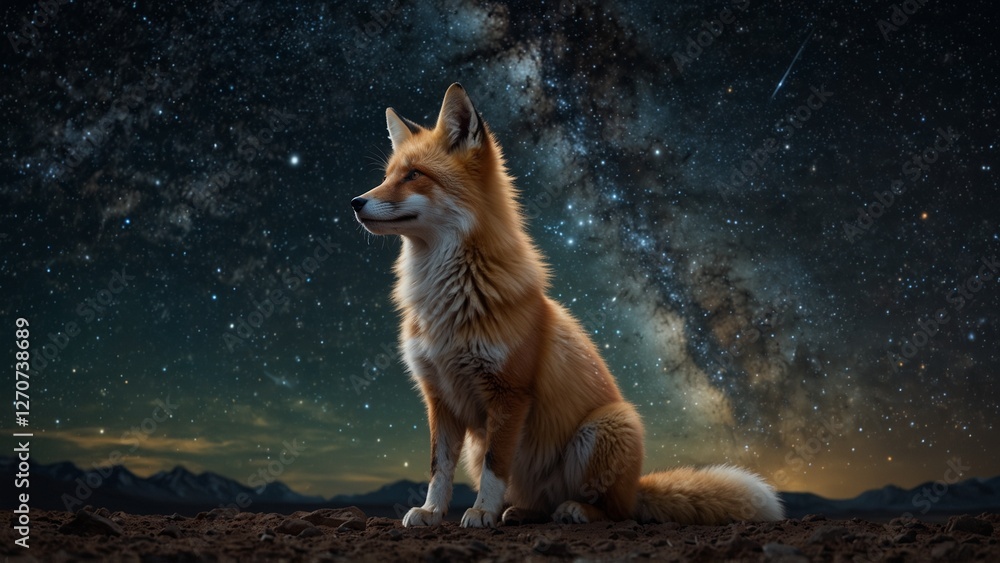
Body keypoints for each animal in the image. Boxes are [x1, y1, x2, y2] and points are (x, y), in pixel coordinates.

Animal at [351, 83, 785, 528]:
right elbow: (439, 467)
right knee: (539, 502)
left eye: (414, 175)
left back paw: (575, 510)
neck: (447, 300)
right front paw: (432, 511)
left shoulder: (509, 393)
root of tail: (636, 487)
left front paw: (482, 511)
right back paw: (522, 512)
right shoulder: (439, 396)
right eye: (386, 176)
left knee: (614, 512)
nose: (355, 201)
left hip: (605, 428)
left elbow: (495, 466)